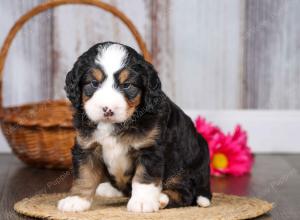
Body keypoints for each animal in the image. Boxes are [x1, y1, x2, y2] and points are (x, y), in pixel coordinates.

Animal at [56, 41, 211, 213]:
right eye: (94, 83)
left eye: (127, 85)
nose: (107, 109)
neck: (114, 125)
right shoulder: (86, 147)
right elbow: (84, 175)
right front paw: (76, 200)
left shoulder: (150, 149)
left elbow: (144, 178)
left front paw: (143, 202)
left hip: (183, 169)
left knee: (186, 193)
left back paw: (162, 198)